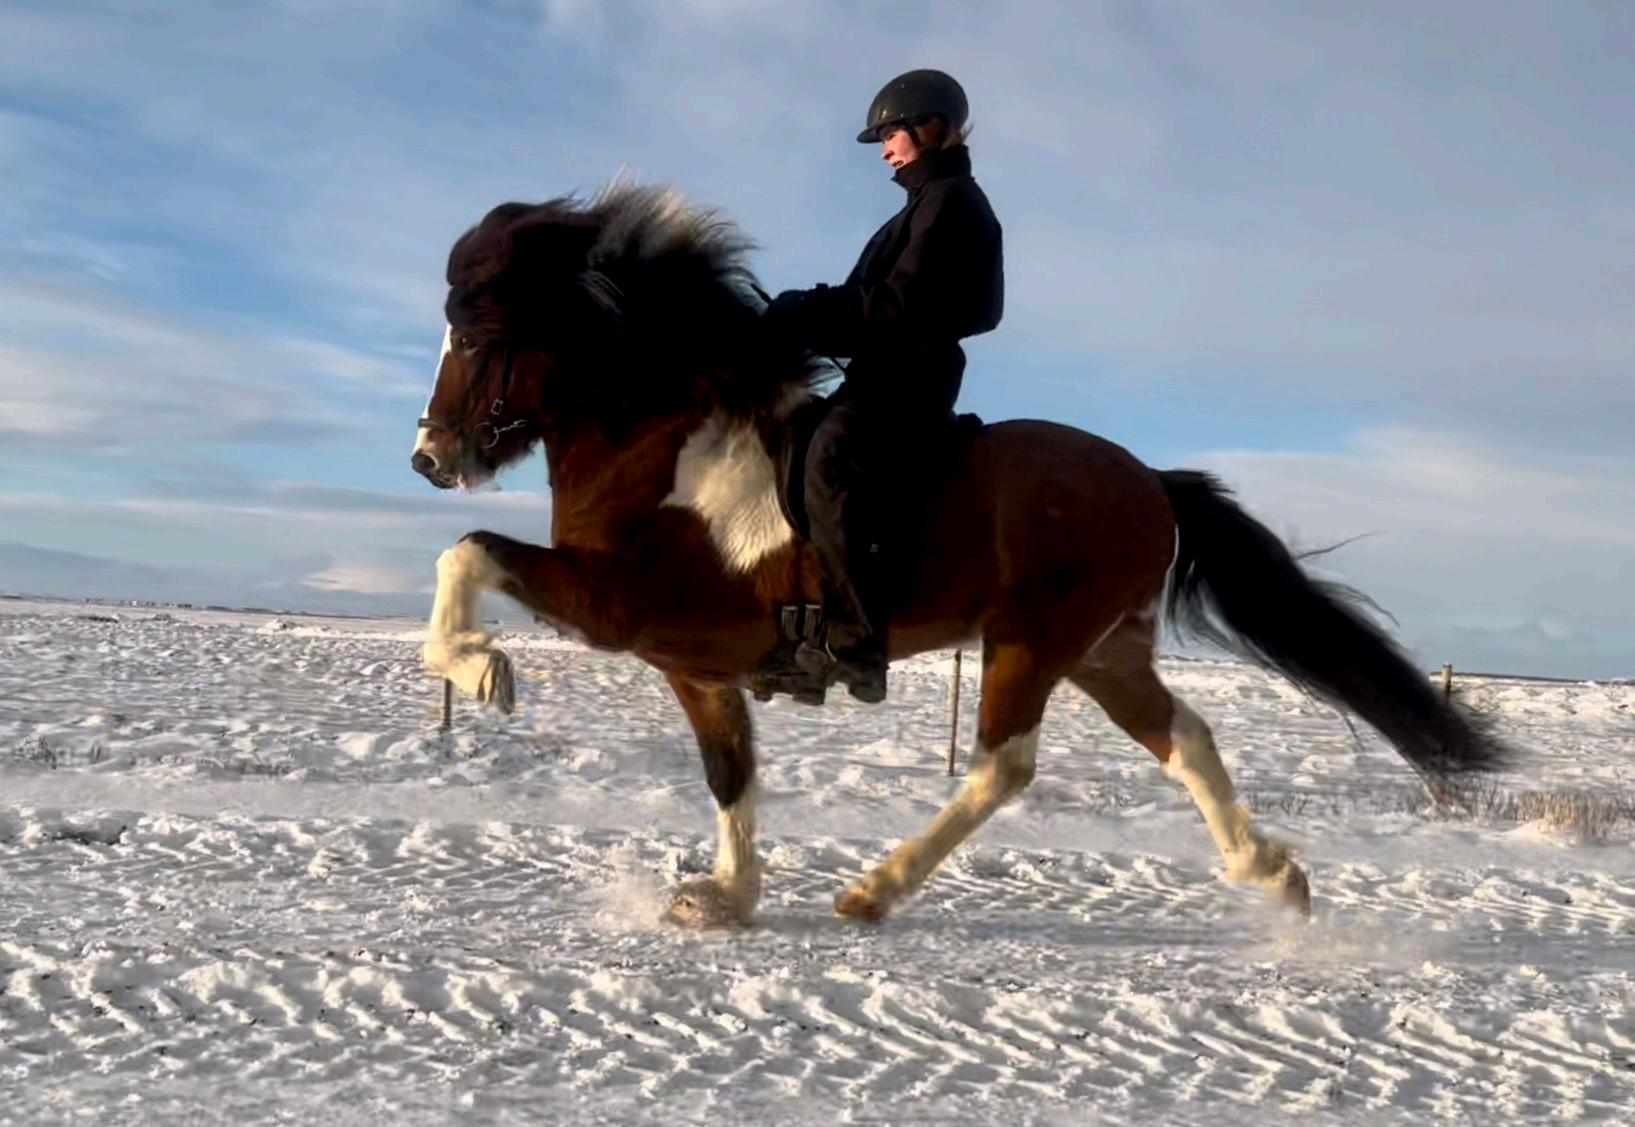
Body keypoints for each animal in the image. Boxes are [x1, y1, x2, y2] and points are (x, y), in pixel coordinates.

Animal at [409, 183, 1507, 929]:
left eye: (475, 334)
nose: (429, 456)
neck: (666, 441)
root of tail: (1152, 479)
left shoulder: (619, 603)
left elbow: (469, 555)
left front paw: (480, 669)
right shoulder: (693, 661)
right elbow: (730, 774)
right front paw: (726, 895)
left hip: (1032, 639)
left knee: (1002, 766)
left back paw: (874, 888)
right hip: (1104, 649)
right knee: (1184, 735)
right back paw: (1270, 872)